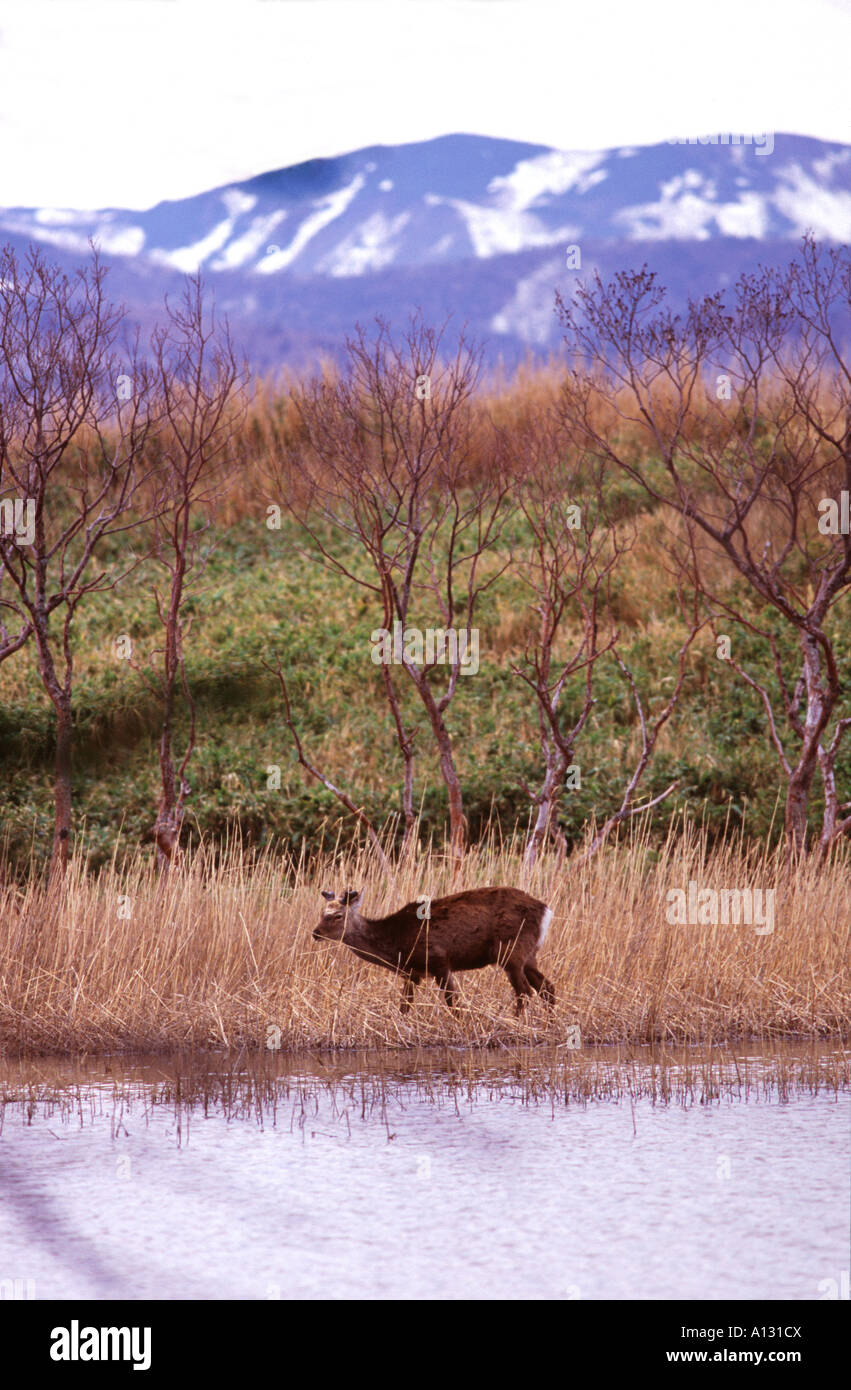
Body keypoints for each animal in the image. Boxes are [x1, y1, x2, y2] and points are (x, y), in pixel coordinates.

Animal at [312, 885, 555, 1014]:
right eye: (322, 913)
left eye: (337, 916)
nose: (315, 933)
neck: (394, 944)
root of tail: (546, 910)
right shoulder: (412, 973)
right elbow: (405, 1006)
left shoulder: (439, 960)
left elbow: (452, 1001)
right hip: (529, 954)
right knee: (547, 988)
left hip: (511, 951)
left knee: (525, 991)